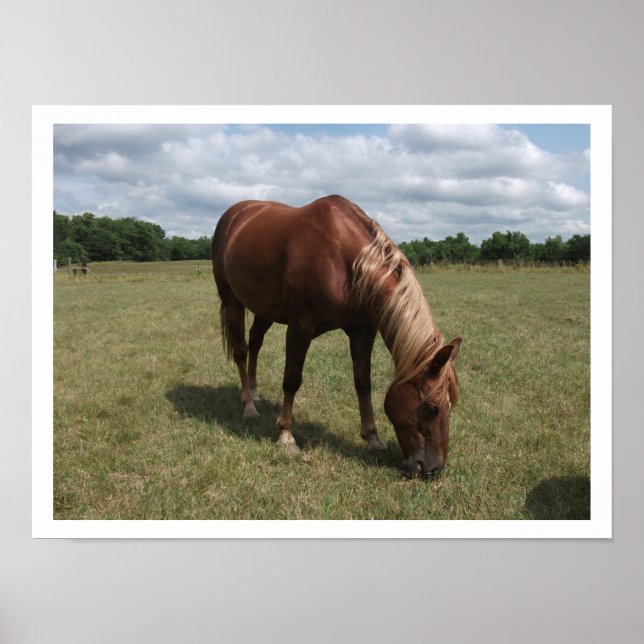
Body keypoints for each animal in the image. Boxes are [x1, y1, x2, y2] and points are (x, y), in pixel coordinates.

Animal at [212, 195, 461, 479]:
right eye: (431, 408)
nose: (432, 468)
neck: (346, 262)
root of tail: (235, 214)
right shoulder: (300, 327)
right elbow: (291, 380)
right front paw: (286, 436)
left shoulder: (363, 330)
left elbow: (363, 382)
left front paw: (373, 438)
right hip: (232, 300)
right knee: (241, 350)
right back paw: (248, 406)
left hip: (265, 308)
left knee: (255, 343)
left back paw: (254, 394)